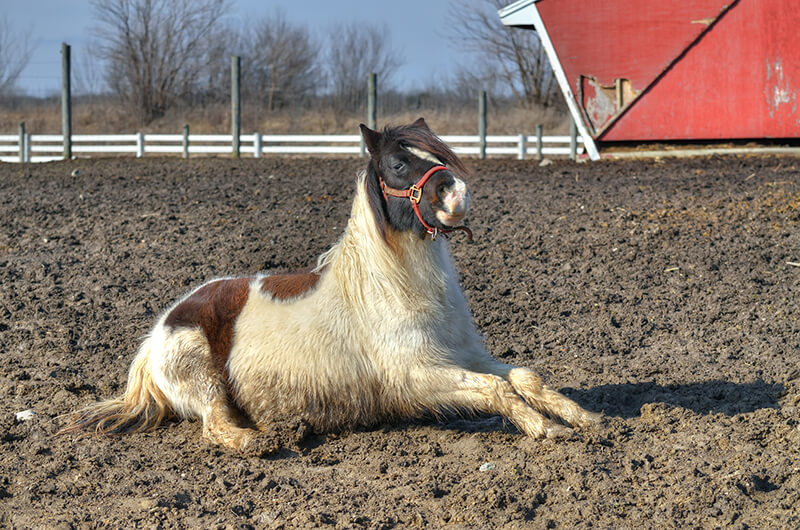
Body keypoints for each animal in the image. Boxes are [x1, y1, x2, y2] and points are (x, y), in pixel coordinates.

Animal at [62, 116, 596, 450]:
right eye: (398, 163)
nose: (457, 194)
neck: (391, 289)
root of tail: (158, 331)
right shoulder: (420, 376)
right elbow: (494, 390)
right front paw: (543, 430)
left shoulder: (462, 356)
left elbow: (523, 377)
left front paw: (579, 417)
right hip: (203, 379)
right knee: (215, 425)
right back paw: (257, 440)